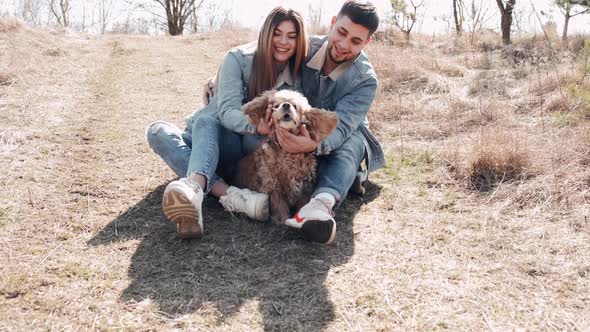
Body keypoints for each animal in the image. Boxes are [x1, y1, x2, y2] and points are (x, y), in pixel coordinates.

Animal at [234, 90, 340, 223]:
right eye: (276, 105)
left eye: (295, 106)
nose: (286, 105)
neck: (287, 155)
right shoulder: (273, 185)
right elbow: (279, 206)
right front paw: (282, 220)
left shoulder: (305, 187)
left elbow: (303, 204)